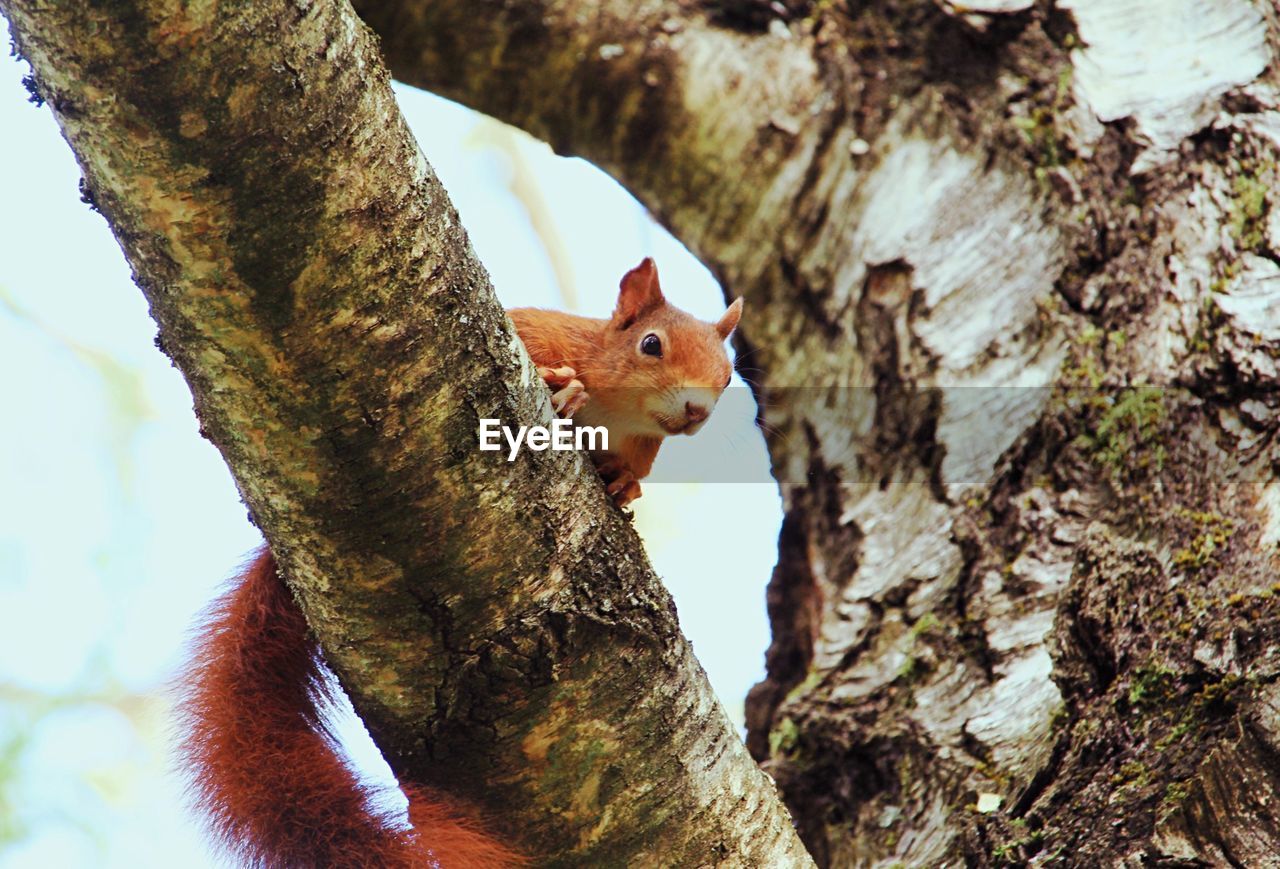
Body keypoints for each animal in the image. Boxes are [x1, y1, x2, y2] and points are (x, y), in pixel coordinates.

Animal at [175, 258, 747, 869]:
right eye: (651, 344)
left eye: (728, 376)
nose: (696, 411)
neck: (617, 411)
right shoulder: (546, 335)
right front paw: (560, 387)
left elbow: (628, 474)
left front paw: (620, 485)